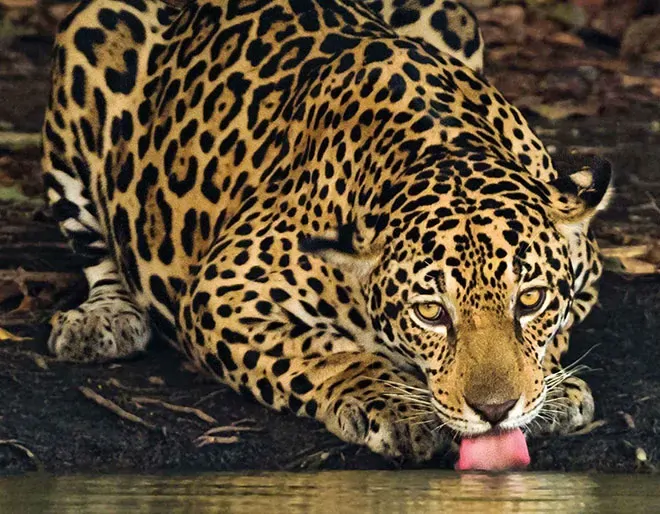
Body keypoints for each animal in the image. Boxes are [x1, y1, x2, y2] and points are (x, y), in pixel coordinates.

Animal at [42, 0, 612, 461]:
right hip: (91, 41)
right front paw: (391, 404)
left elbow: (558, 335)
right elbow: (323, 352)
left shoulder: (587, 276)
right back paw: (102, 319)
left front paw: (556, 391)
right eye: (430, 312)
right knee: (94, 246)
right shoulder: (221, 293)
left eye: (531, 300)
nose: (495, 411)